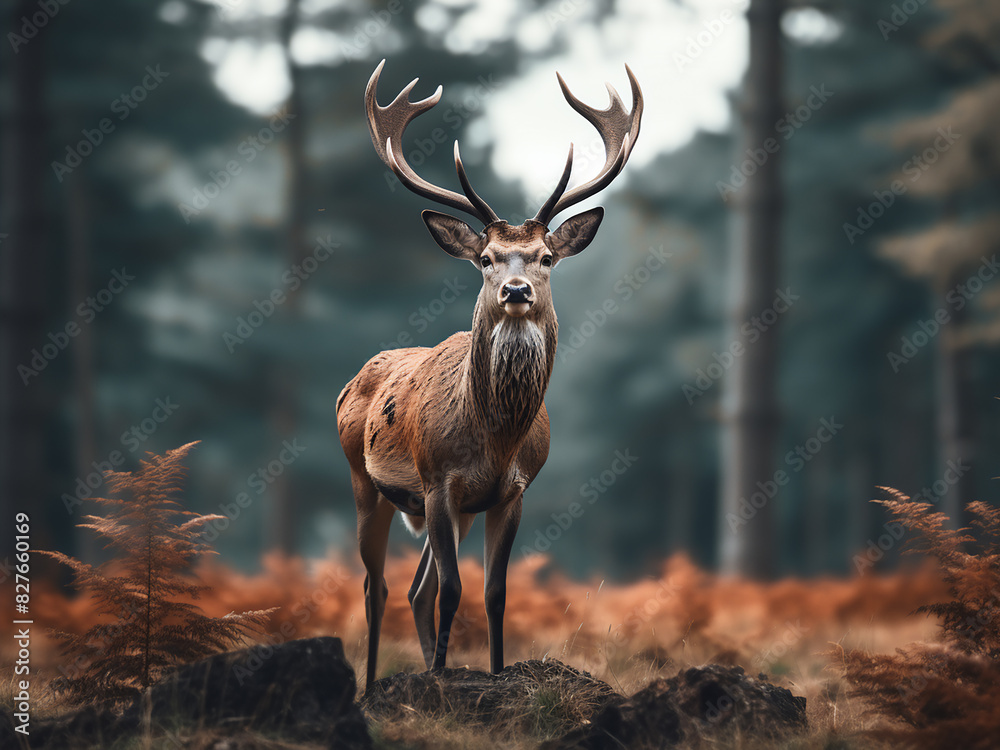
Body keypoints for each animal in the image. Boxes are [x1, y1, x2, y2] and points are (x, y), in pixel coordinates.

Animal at [337, 59, 643, 689]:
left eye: (546, 257)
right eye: (485, 258)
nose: (517, 290)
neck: (495, 439)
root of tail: (351, 383)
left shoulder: (511, 491)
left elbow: (495, 592)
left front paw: (494, 675)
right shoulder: (437, 481)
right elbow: (454, 590)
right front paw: (439, 681)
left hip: (441, 511)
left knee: (415, 589)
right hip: (365, 481)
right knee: (378, 587)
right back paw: (374, 683)